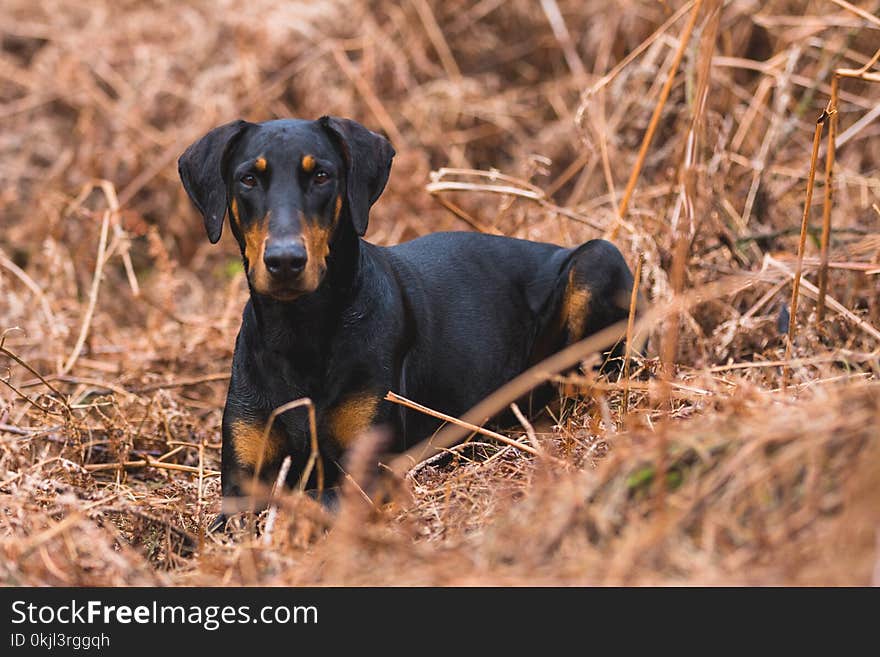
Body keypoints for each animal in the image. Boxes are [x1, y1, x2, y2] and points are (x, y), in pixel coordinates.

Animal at [177, 114, 632, 516]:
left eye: (321, 175)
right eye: (248, 179)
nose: (285, 261)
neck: (300, 330)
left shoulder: (366, 467)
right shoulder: (240, 481)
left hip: (596, 260)